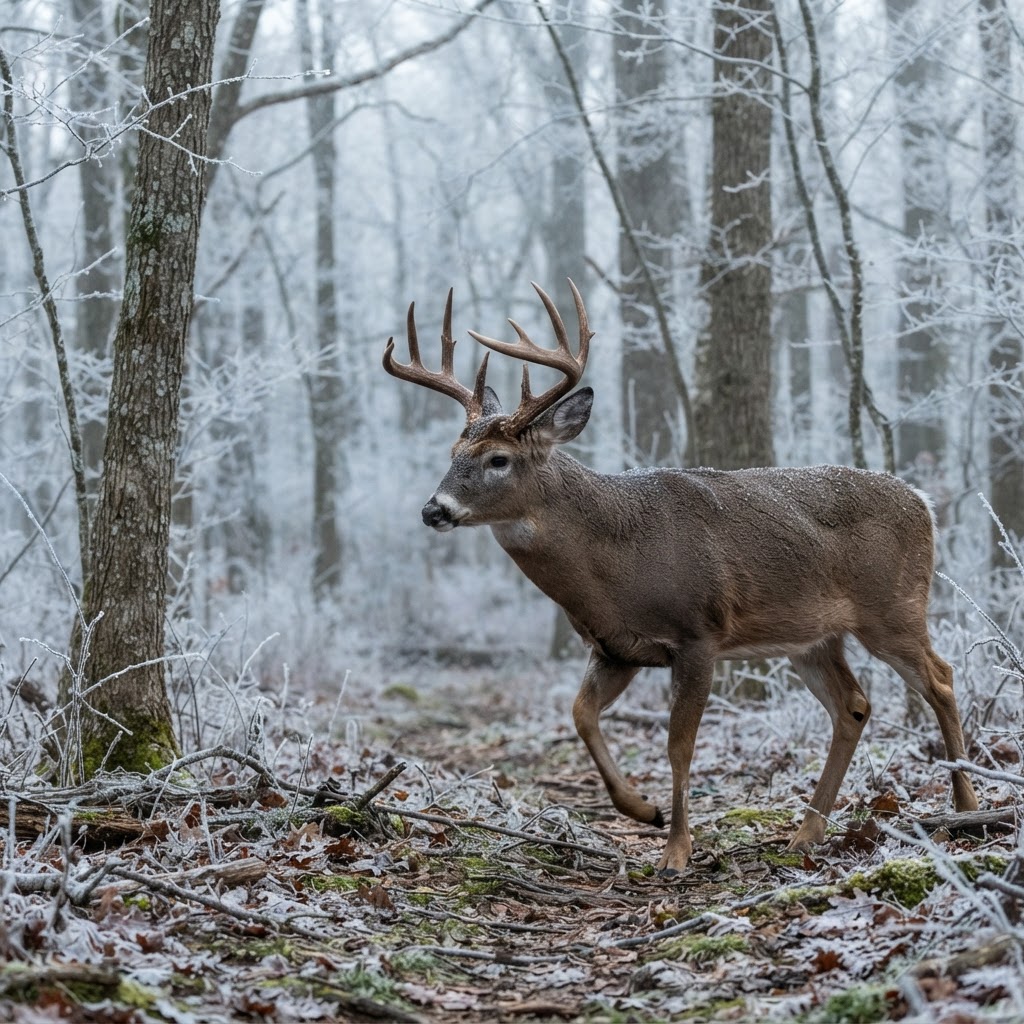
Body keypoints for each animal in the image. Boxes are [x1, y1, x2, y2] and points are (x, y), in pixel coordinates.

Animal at [382, 280, 979, 874]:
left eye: (499, 460)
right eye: (453, 452)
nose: (433, 509)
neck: (615, 560)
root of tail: (923, 503)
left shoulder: (699, 633)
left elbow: (678, 745)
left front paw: (675, 851)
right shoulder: (616, 648)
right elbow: (580, 715)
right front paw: (643, 810)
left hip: (893, 606)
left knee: (942, 677)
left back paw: (967, 808)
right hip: (813, 636)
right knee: (853, 706)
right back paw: (806, 834)